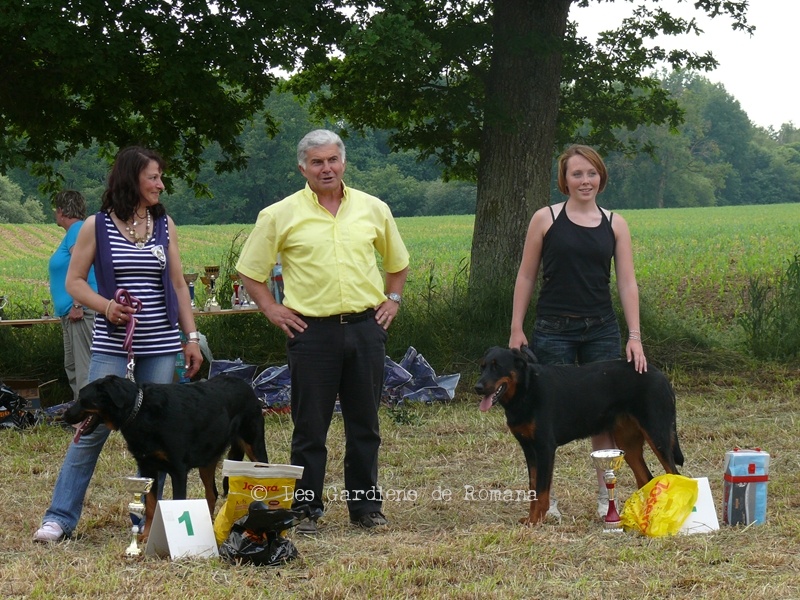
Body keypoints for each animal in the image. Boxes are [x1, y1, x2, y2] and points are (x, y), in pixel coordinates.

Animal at [63, 374, 269, 541]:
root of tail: (246, 384)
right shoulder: (148, 468)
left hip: (255, 448)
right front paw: (146, 535)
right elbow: (151, 505)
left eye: (82, 399)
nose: (64, 416)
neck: (140, 412)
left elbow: (178, 502)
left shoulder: (178, 470)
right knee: (212, 493)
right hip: (207, 460)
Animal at [474, 346, 684, 525]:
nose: (477, 387)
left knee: (674, 473)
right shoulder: (529, 449)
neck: (525, 391)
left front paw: (535, 521)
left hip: (657, 436)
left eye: (497, 366)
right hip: (628, 444)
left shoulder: (544, 448)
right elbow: (533, 487)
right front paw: (530, 519)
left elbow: (541, 491)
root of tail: (661, 375)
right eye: (483, 367)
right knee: (646, 478)